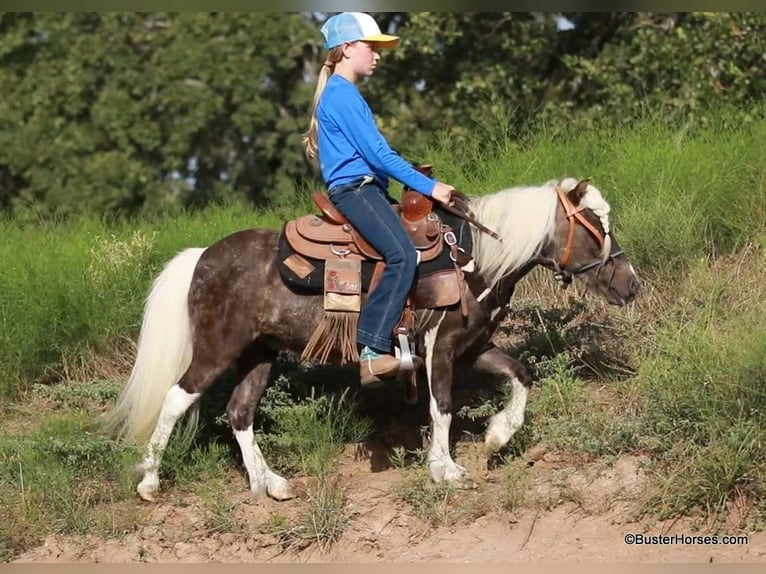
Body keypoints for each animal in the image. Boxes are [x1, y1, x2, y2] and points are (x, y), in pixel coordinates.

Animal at [105, 178, 640, 502]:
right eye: (597, 226)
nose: (630, 283)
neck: (475, 259)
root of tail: (201, 257)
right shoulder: (439, 347)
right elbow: (442, 406)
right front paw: (445, 469)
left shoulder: (473, 347)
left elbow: (522, 375)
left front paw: (496, 436)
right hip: (218, 349)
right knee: (176, 399)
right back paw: (149, 481)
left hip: (259, 354)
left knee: (239, 412)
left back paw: (268, 483)